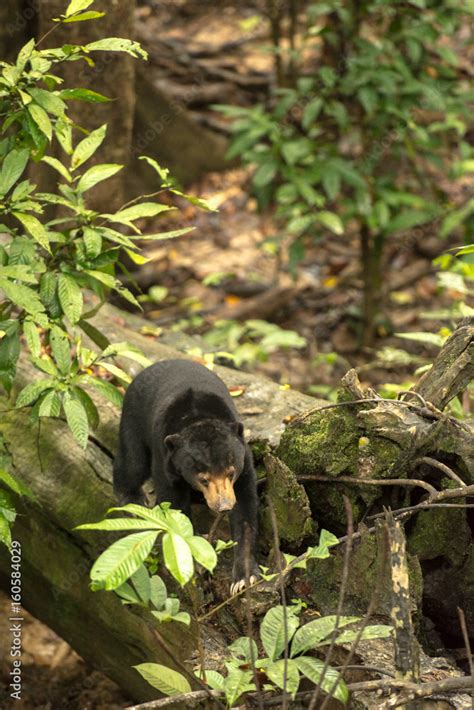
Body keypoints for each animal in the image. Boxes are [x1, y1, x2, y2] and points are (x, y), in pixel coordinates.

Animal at [113, 356, 260, 596]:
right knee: (133, 461)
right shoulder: (167, 461)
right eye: (203, 478)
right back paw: (135, 500)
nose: (223, 506)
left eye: (231, 473)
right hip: (133, 416)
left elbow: (246, 511)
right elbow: (175, 505)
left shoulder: (245, 463)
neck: (197, 418)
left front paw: (243, 579)